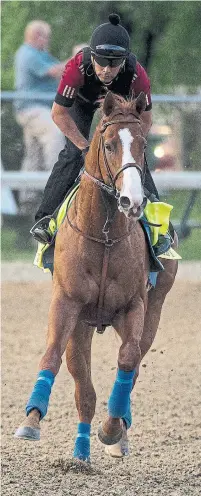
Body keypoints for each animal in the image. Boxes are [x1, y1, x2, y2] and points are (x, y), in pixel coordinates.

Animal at [15, 92, 177, 462]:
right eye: (108, 144)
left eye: (144, 144)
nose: (132, 201)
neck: (103, 235)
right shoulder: (67, 302)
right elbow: (53, 355)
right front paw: (31, 420)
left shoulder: (134, 305)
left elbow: (128, 359)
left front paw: (113, 429)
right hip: (83, 324)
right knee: (82, 387)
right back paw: (80, 452)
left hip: (154, 309)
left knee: (132, 364)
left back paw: (117, 432)